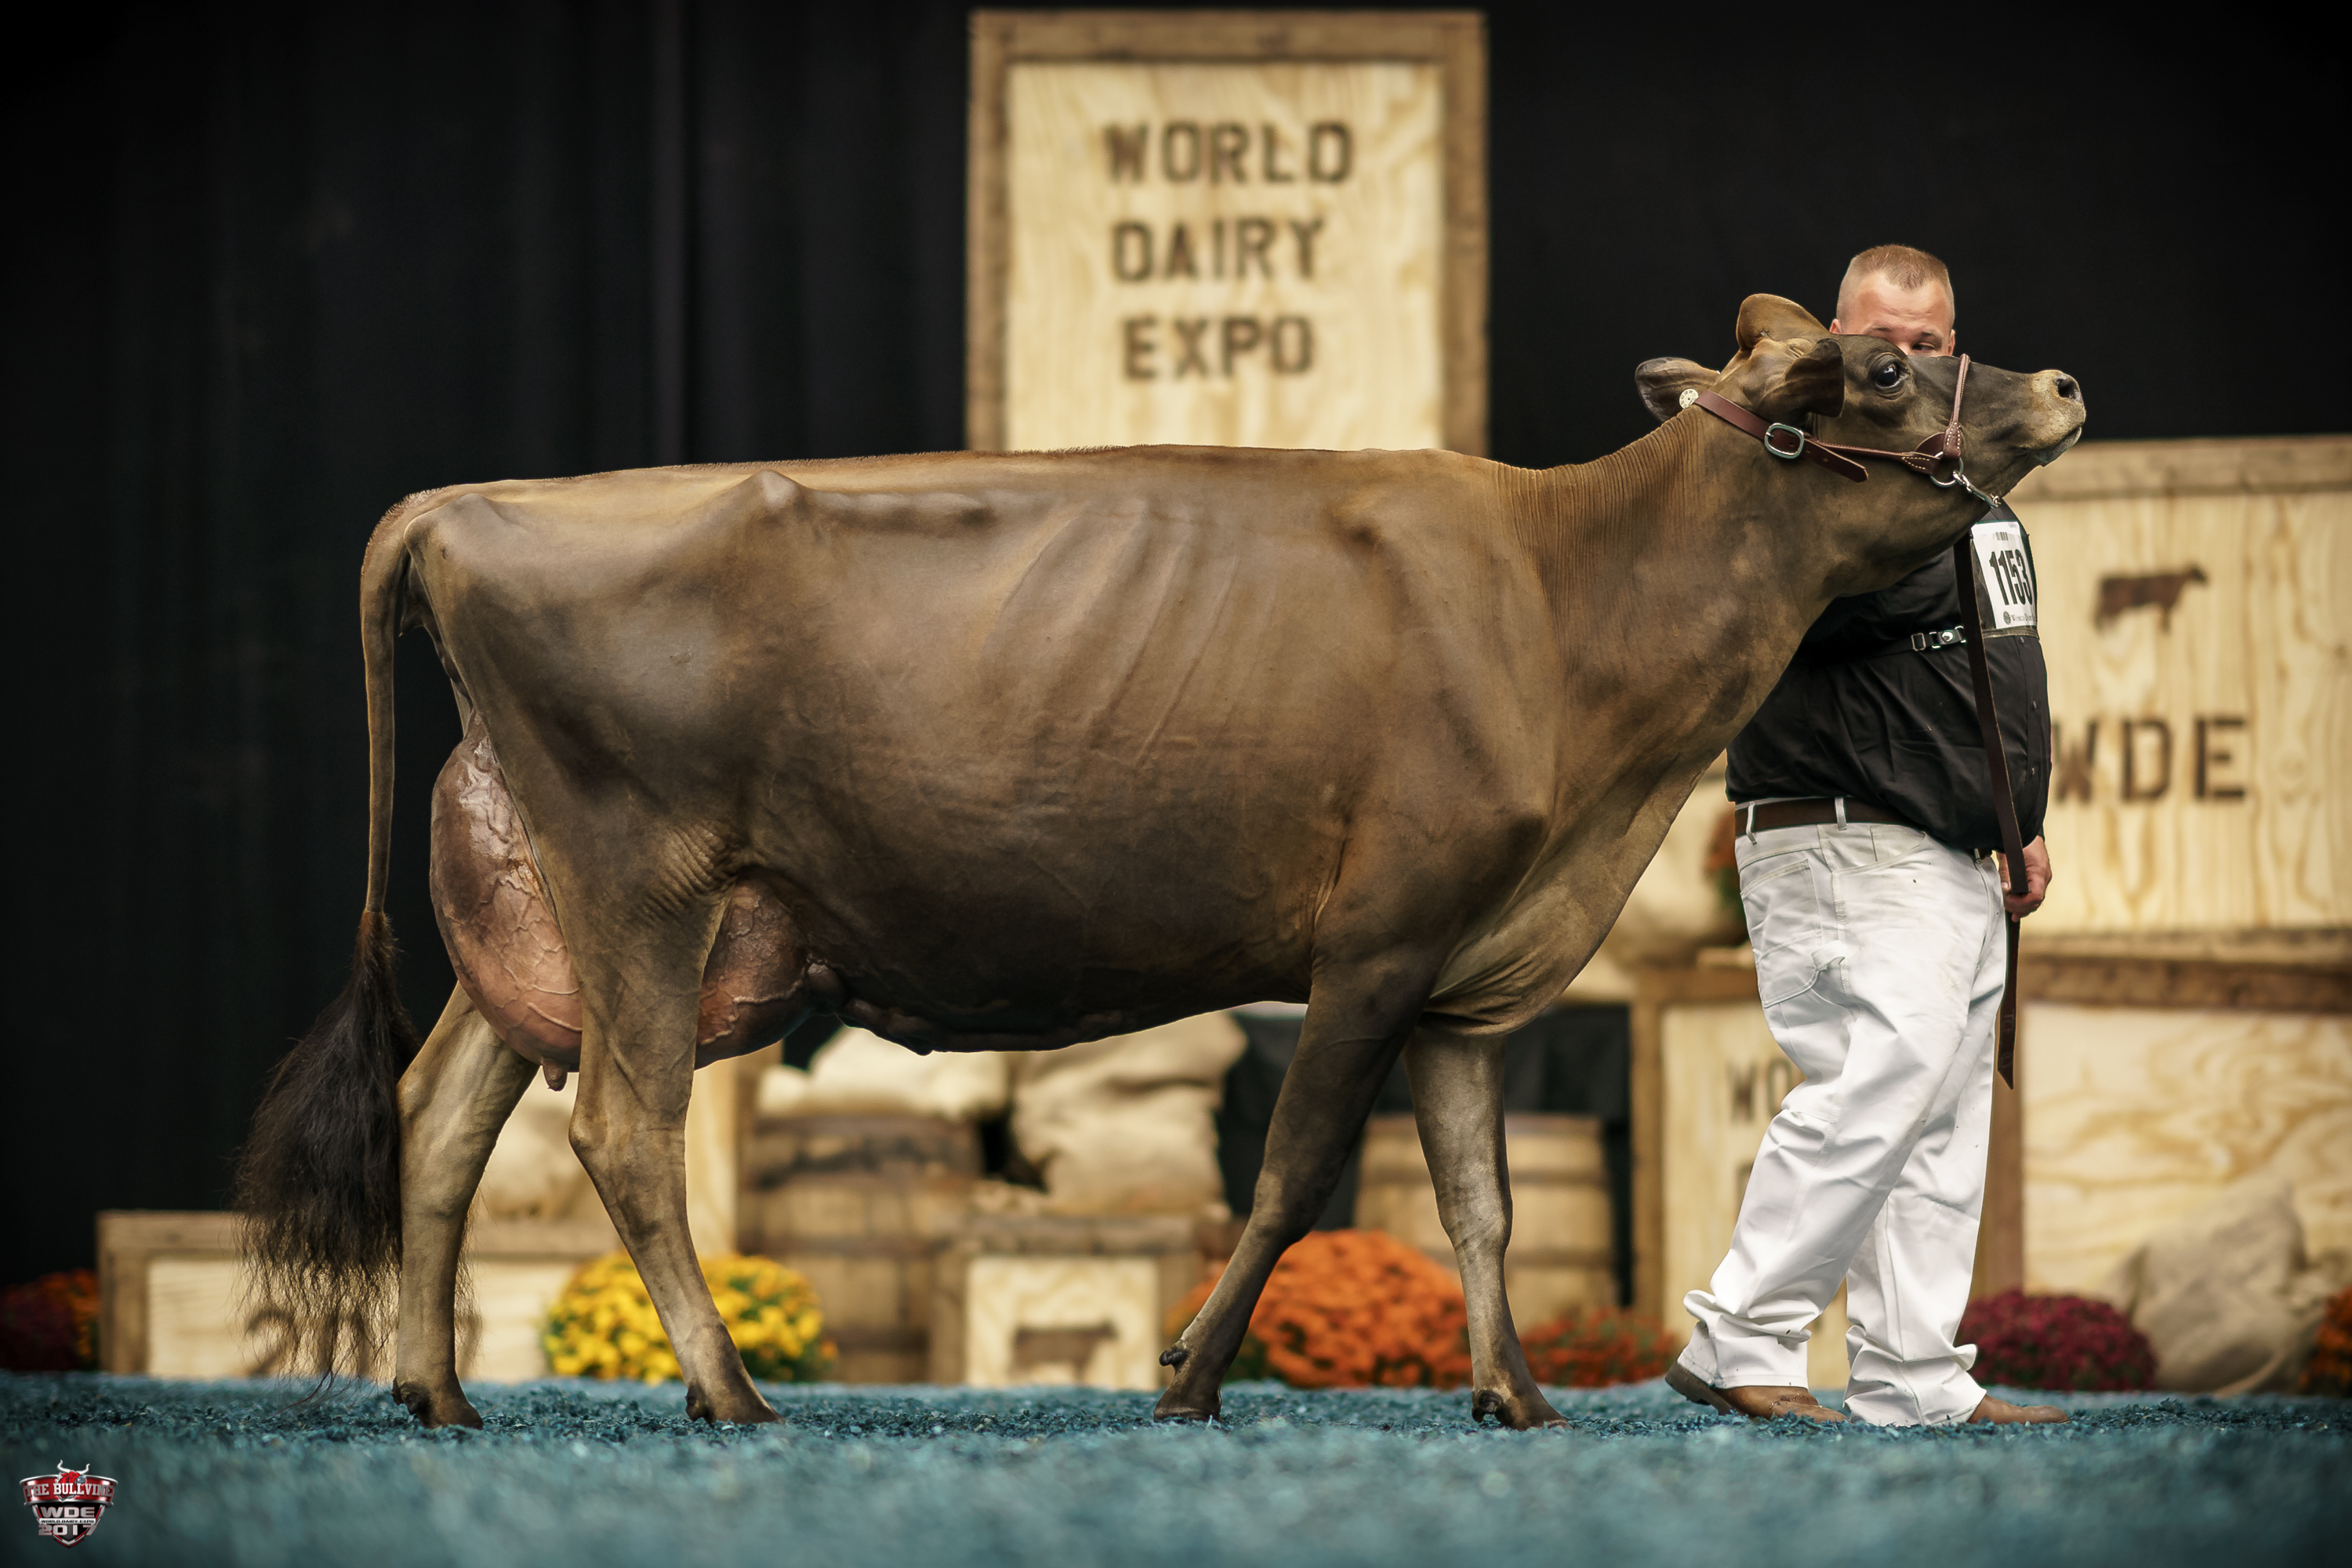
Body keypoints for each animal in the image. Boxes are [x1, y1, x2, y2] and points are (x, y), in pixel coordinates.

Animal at [236, 293, 2084, 1432]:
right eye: (1888, 371)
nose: (2064, 382)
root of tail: (474, 500)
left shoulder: (1472, 971)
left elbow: (1479, 1201)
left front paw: (1514, 1394)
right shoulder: (1384, 933)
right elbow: (1297, 1168)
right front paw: (1191, 1373)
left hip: (541, 907)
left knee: (441, 1118)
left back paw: (440, 1392)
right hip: (638, 884)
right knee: (620, 1127)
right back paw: (732, 1390)